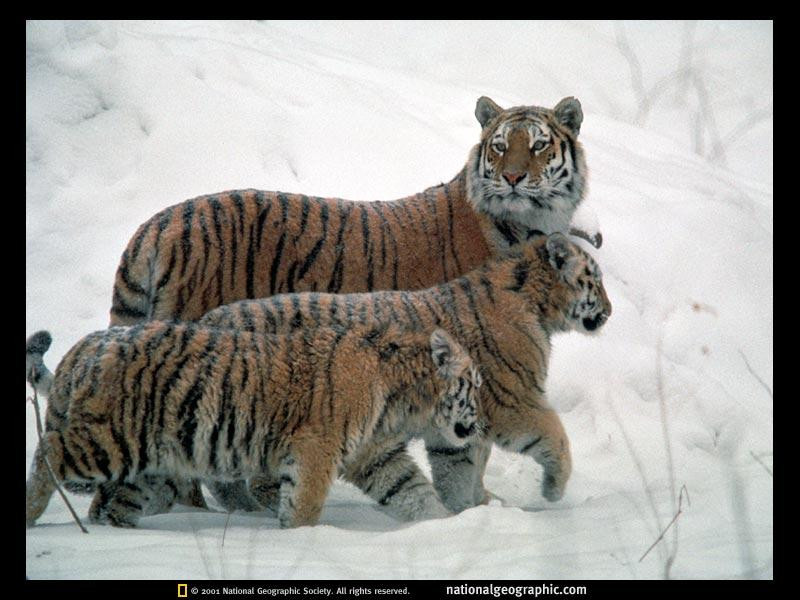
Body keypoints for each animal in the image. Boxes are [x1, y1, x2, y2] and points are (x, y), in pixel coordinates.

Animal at [104, 96, 592, 508]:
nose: (512, 178)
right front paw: (481, 502)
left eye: (538, 146)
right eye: (500, 147)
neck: (526, 225)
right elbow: (477, 442)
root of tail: (154, 226)